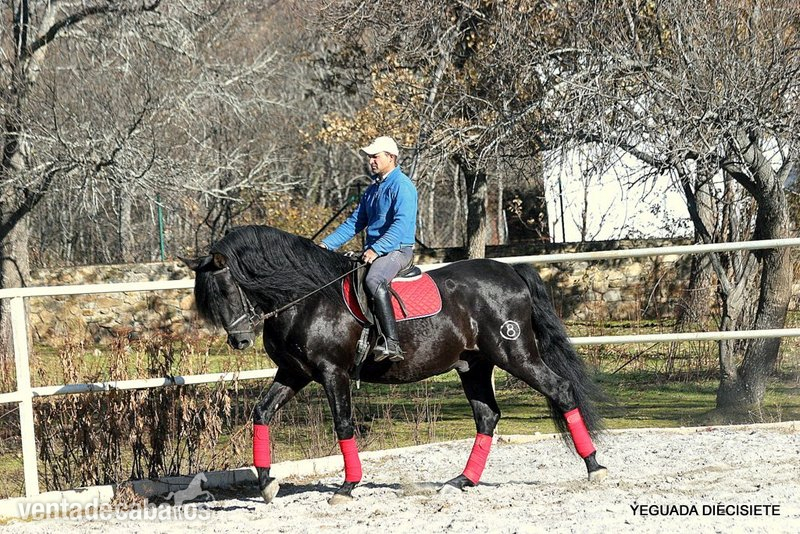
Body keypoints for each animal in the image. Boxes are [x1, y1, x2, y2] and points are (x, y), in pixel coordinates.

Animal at [182, 225, 607, 505]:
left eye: (226, 288)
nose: (239, 340)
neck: (306, 297)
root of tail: (511, 270)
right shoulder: (294, 374)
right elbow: (261, 412)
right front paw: (267, 485)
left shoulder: (332, 373)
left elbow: (343, 425)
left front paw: (348, 487)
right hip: (474, 366)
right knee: (487, 416)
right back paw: (461, 481)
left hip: (515, 354)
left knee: (560, 390)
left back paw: (594, 468)